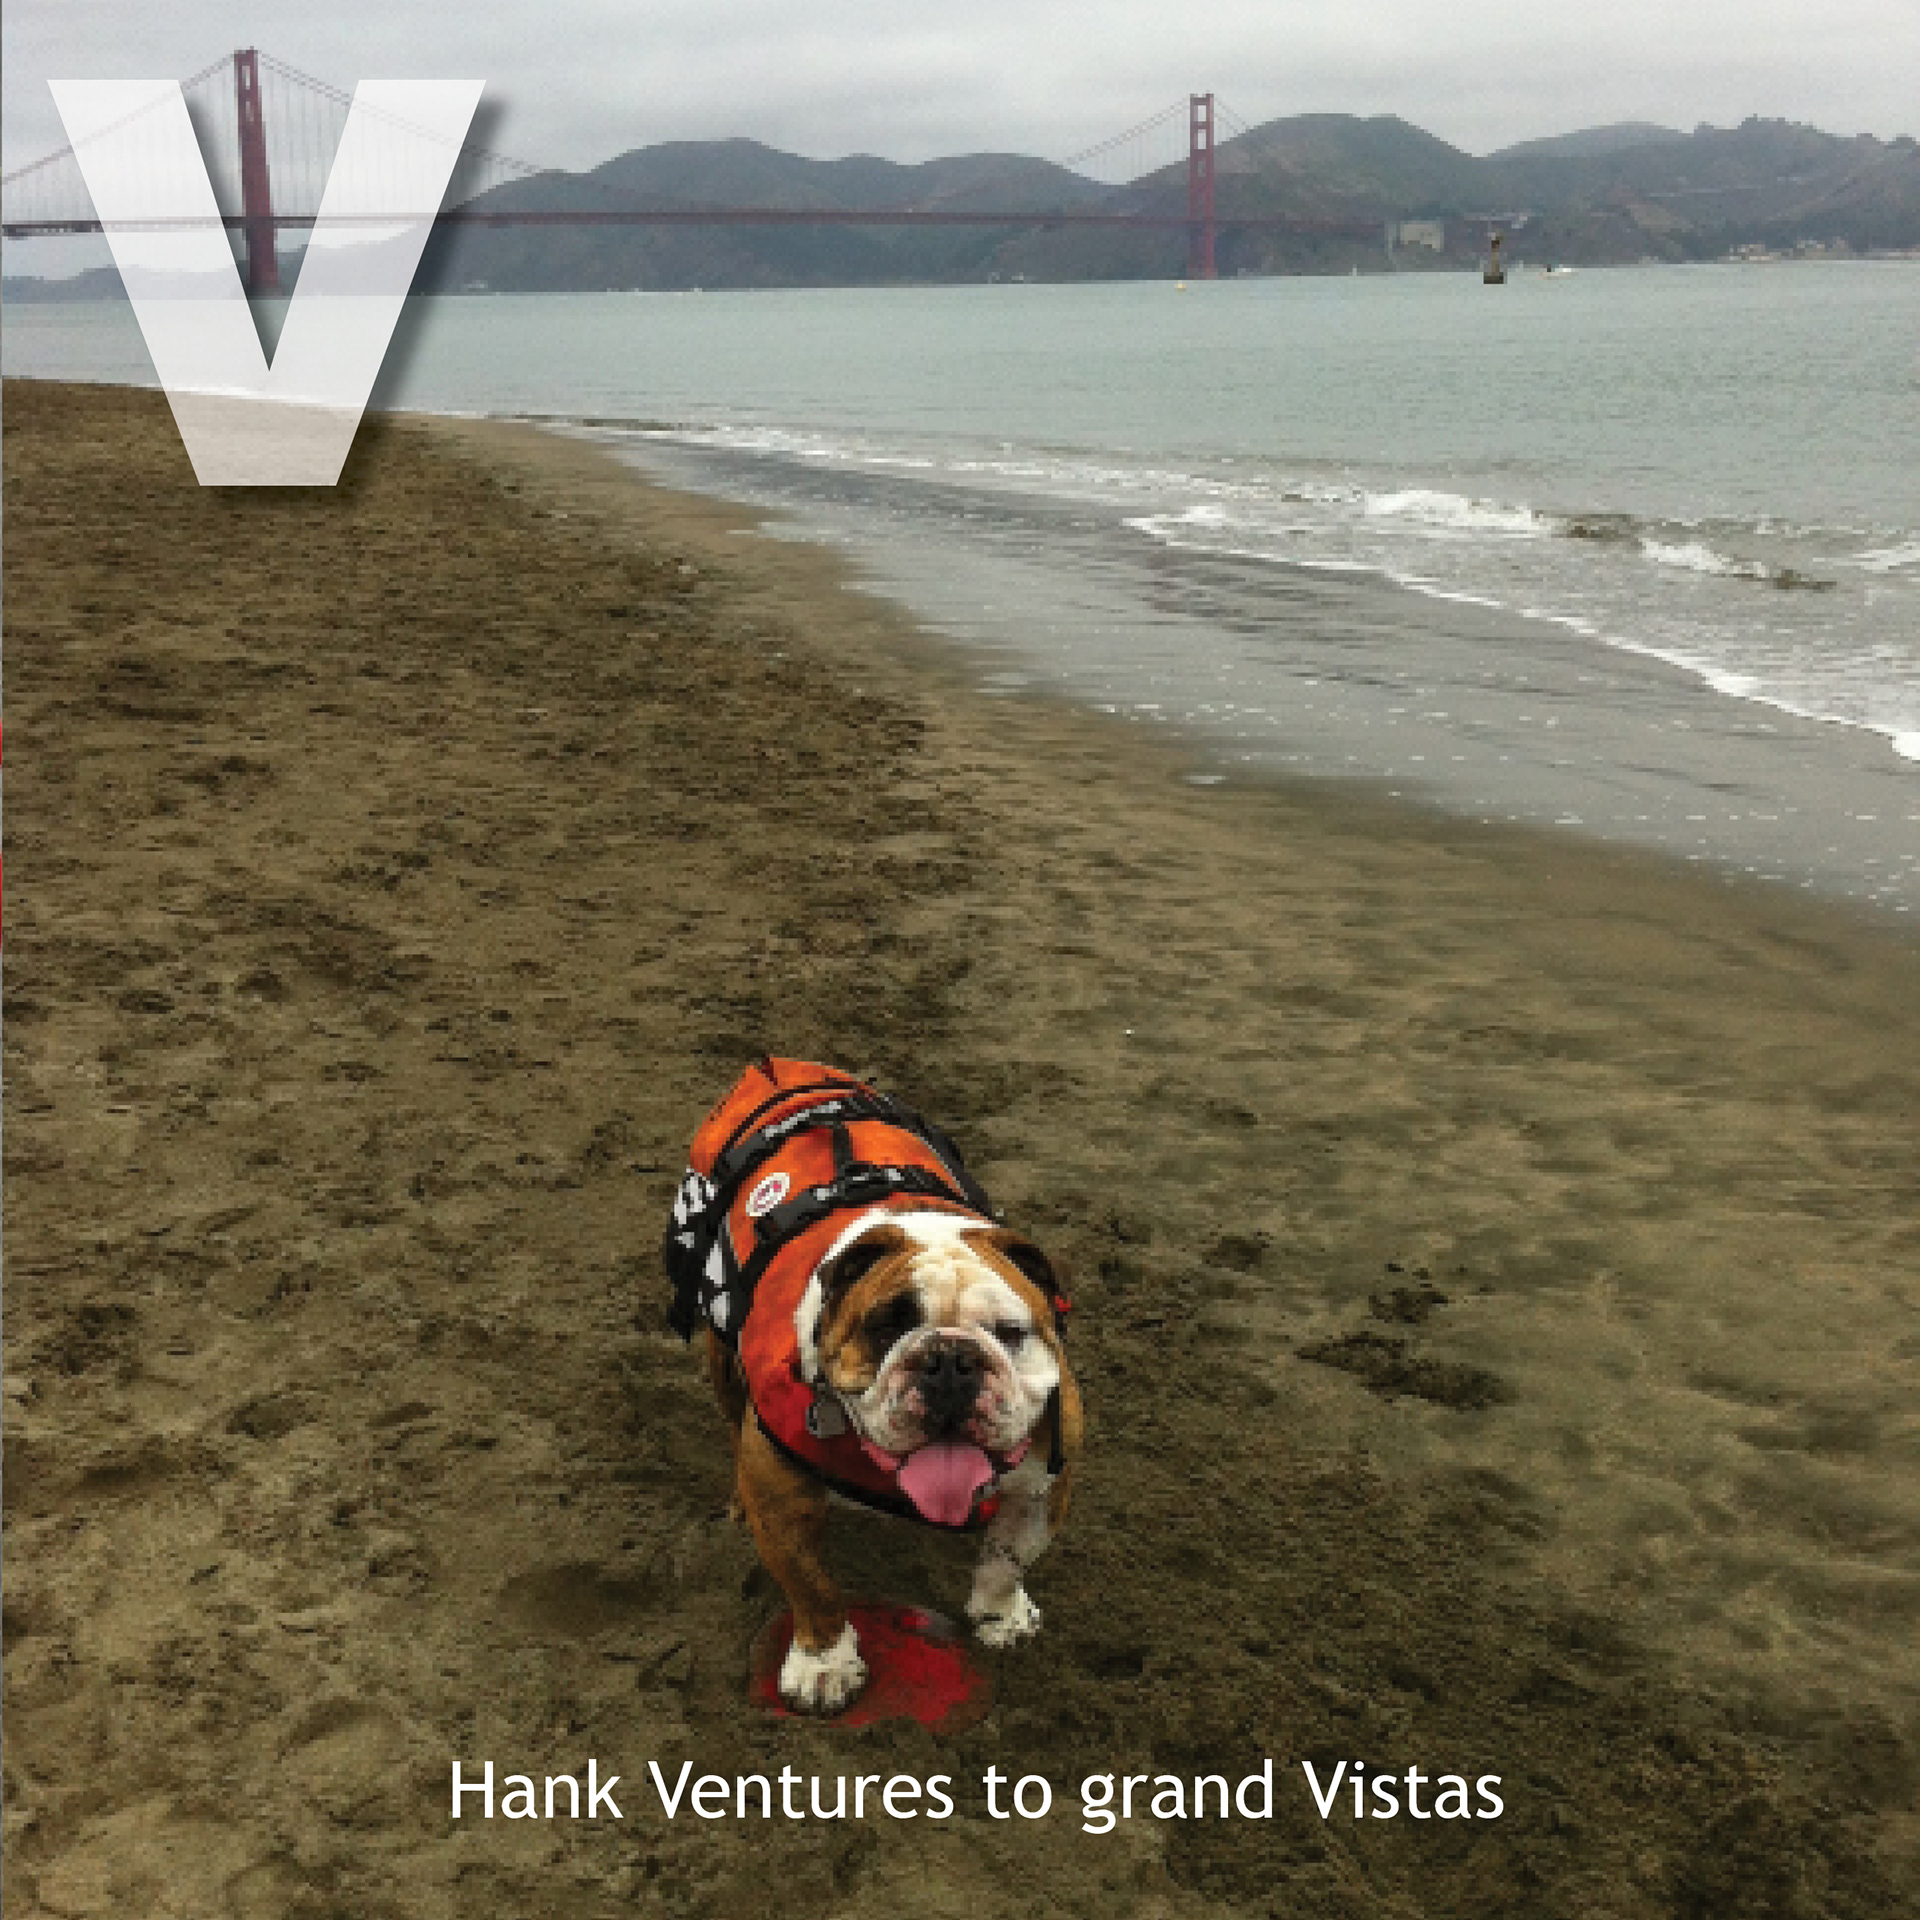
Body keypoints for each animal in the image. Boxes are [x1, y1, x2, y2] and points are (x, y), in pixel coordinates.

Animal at [664, 1059, 1083, 1713]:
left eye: (1010, 1333)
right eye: (886, 1327)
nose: (950, 1360)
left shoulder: (1043, 1488)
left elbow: (1008, 1559)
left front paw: (1000, 1617)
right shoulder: (778, 1491)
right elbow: (812, 1586)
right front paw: (823, 1665)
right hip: (720, 1357)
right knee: (732, 1421)